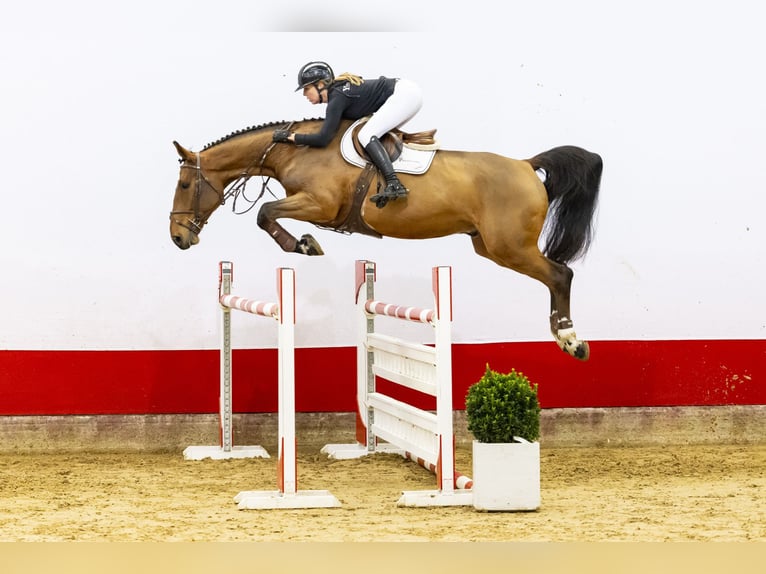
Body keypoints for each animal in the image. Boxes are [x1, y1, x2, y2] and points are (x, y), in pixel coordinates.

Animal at [171, 118, 604, 360]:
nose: (177, 237)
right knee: (554, 275)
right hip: (490, 246)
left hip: (509, 246)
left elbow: (265, 213)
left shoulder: (319, 204)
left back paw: (571, 340)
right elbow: (267, 213)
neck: (296, 151)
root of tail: (526, 165)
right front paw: (305, 244)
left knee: (559, 275)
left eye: (185, 184)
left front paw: (305, 245)